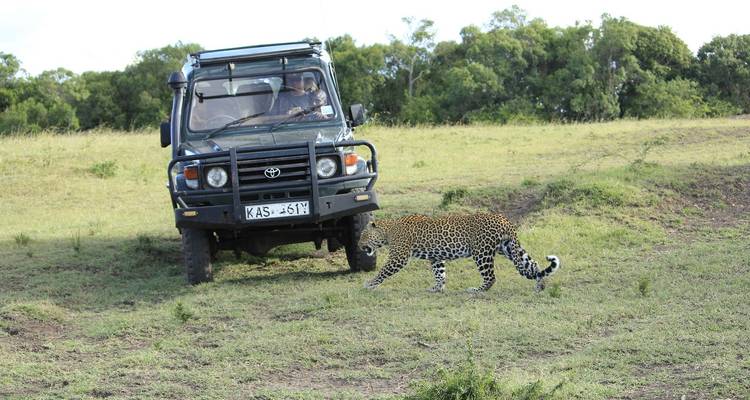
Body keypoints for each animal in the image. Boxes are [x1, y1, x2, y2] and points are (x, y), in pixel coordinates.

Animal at [358, 213, 560, 292]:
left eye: (363, 235)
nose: (359, 246)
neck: (388, 231)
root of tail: (503, 219)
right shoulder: (436, 257)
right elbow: (440, 273)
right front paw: (437, 288)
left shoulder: (398, 257)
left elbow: (383, 271)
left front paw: (369, 284)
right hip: (509, 248)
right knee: (533, 265)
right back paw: (540, 286)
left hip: (482, 252)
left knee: (491, 277)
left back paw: (477, 290)